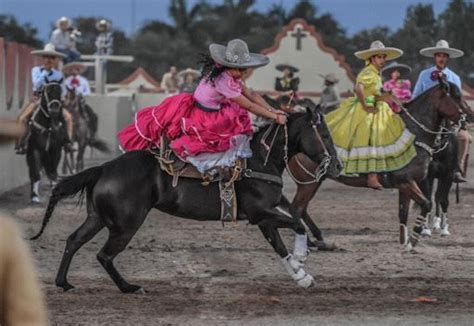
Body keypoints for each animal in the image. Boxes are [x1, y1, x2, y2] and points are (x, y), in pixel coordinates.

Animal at [30, 107, 340, 292]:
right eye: (325, 134)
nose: (337, 167)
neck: (259, 161)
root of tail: (104, 168)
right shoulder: (260, 214)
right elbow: (295, 226)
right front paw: (301, 259)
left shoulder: (267, 216)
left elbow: (288, 231)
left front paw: (301, 274)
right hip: (125, 225)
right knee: (104, 255)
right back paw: (129, 287)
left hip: (98, 218)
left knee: (74, 240)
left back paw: (63, 282)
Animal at [286, 79, 472, 252]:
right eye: (456, 96)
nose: (470, 116)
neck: (413, 134)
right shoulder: (407, 182)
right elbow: (427, 204)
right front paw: (413, 240)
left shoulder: (406, 185)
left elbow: (403, 212)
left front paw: (404, 241)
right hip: (308, 183)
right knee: (297, 208)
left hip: (315, 182)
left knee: (302, 209)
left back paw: (317, 239)